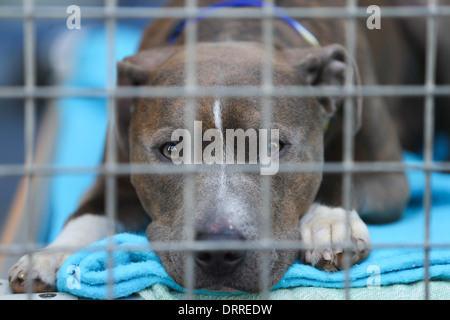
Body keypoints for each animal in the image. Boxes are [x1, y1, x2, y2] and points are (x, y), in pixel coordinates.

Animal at [9, 0, 412, 294]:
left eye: (272, 147)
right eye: (171, 150)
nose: (219, 251)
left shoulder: (389, 177)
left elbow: (343, 176)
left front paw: (329, 222)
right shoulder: (114, 179)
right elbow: (87, 214)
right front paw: (48, 255)